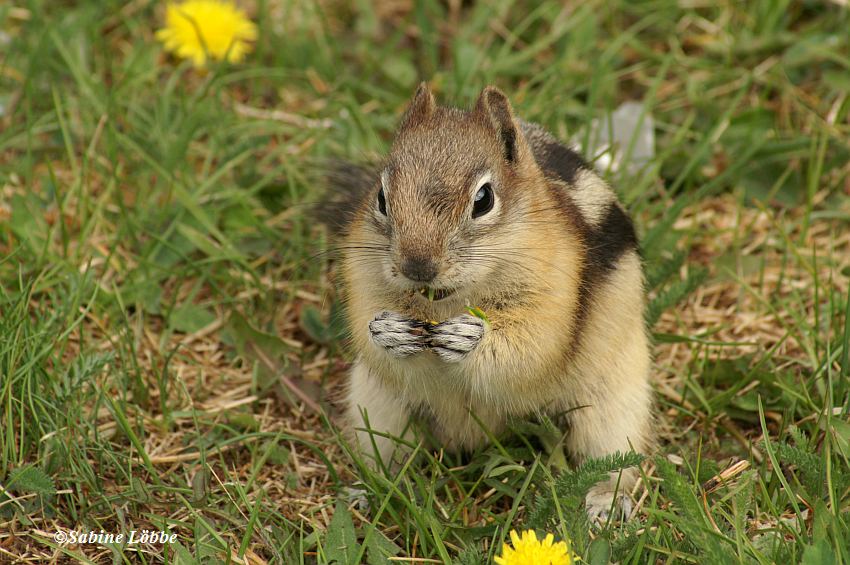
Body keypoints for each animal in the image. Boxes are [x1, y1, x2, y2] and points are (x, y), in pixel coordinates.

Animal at [322, 82, 648, 520]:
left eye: (483, 200)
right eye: (381, 198)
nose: (417, 266)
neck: (448, 301)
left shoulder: (554, 292)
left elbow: (531, 346)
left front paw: (469, 338)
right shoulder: (363, 276)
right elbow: (364, 322)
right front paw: (387, 331)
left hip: (613, 409)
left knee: (613, 460)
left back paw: (605, 504)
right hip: (375, 406)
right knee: (386, 454)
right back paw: (369, 491)